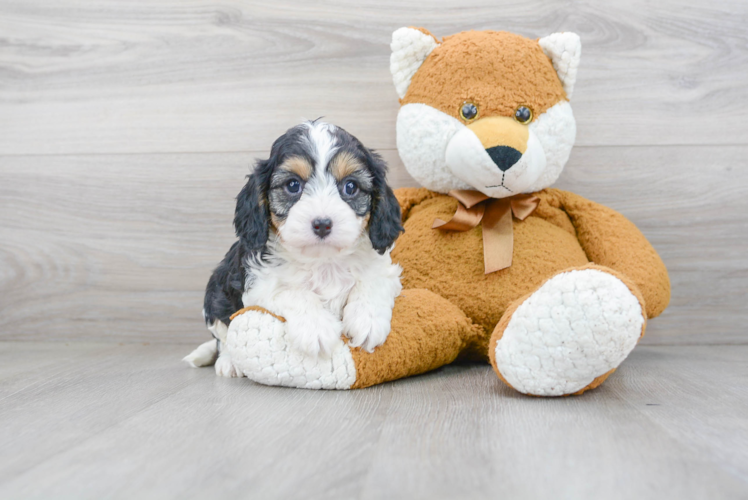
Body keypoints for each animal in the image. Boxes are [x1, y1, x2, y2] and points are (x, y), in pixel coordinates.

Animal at [183, 121, 404, 376]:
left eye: (351, 187)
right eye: (292, 185)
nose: (322, 224)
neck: (323, 261)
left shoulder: (385, 270)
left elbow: (373, 280)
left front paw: (367, 320)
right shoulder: (258, 284)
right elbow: (291, 291)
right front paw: (316, 327)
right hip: (215, 294)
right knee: (224, 338)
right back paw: (228, 362)